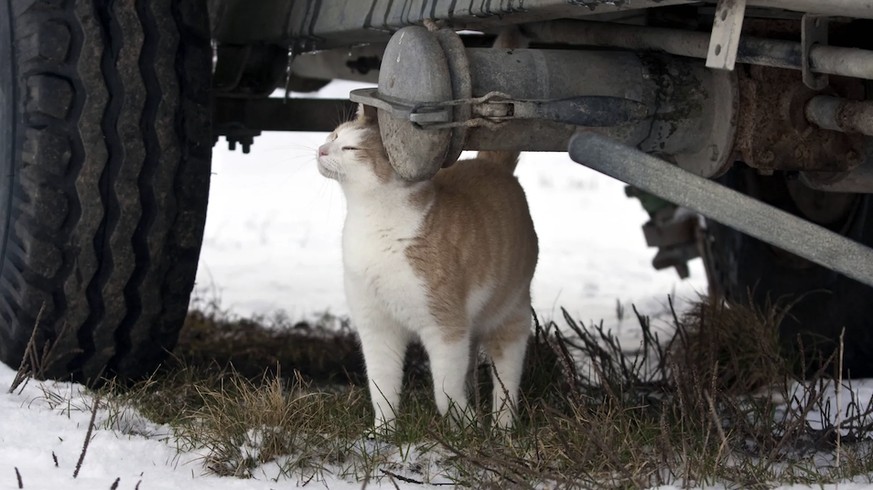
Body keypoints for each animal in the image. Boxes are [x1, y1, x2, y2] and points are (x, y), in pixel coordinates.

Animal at [316, 29, 536, 432]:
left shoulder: (446, 327)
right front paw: (382, 433)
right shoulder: (376, 327)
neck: (372, 224)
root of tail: (494, 167)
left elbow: (444, 389)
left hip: (510, 315)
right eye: (333, 135)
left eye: (350, 148)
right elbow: (381, 386)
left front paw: (464, 428)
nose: (322, 150)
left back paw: (501, 427)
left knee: (506, 378)